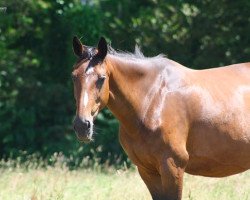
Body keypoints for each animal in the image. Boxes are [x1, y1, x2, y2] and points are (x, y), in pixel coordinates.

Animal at [70, 36, 250, 200]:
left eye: (101, 79)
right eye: (73, 76)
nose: (82, 126)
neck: (153, 99)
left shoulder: (172, 167)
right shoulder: (147, 170)